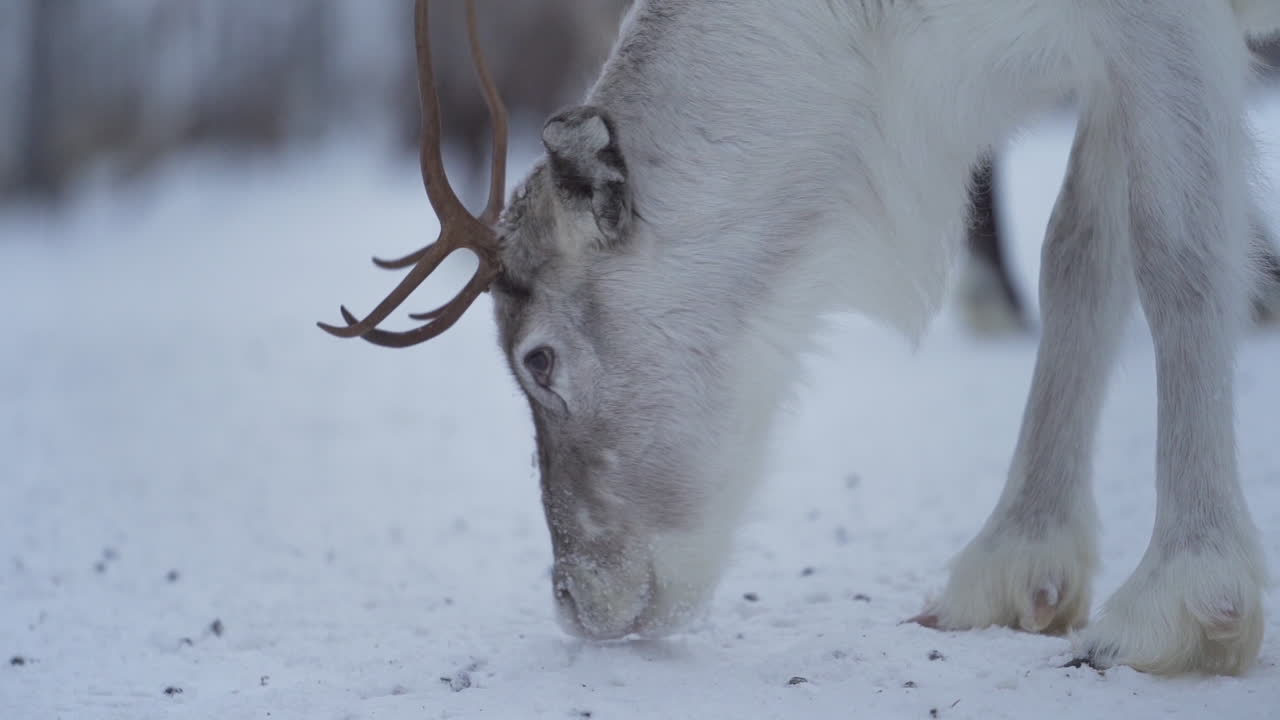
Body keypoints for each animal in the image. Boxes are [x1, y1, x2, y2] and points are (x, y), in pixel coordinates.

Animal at [320, 0, 1280, 675]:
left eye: (540, 358)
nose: (572, 598)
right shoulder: (1108, 53)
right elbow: (1079, 255)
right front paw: (1017, 563)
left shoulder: (1157, 22)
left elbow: (1179, 253)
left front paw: (1186, 599)